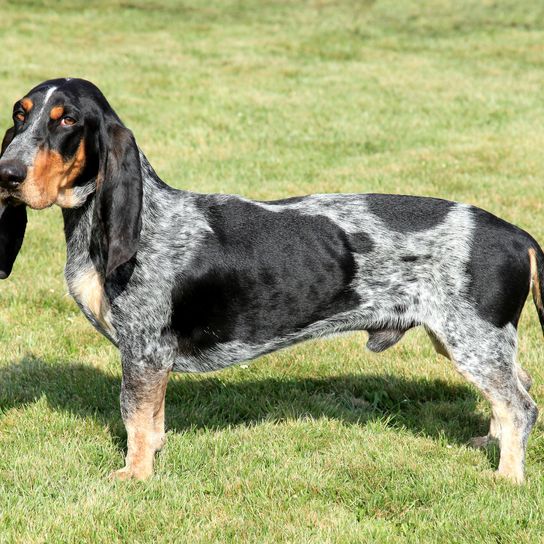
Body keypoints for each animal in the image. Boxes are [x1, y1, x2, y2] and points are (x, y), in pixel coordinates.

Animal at [0, 78, 540, 482]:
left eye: (66, 120)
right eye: (19, 115)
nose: (7, 173)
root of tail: (519, 236)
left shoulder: (144, 352)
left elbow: (135, 418)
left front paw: (134, 476)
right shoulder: (149, 359)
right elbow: (152, 424)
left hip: (473, 340)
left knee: (520, 406)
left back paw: (507, 477)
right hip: (466, 342)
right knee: (517, 389)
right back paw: (487, 444)